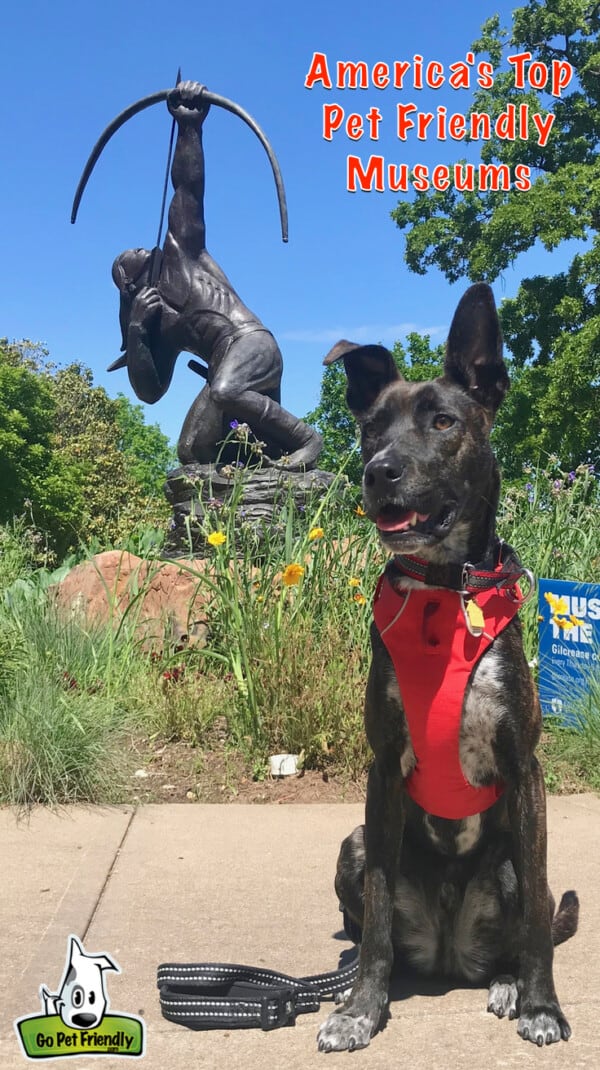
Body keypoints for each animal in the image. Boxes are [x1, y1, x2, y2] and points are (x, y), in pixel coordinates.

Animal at [316, 284, 577, 1052]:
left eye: (442, 421)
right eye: (372, 428)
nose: (379, 471)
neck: (442, 593)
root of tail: (447, 956)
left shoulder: (525, 769)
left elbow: (540, 924)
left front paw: (543, 1006)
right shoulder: (380, 771)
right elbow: (374, 919)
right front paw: (361, 1009)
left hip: (516, 863)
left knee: (524, 926)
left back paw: (510, 984)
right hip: (354, 843)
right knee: (372, 928)